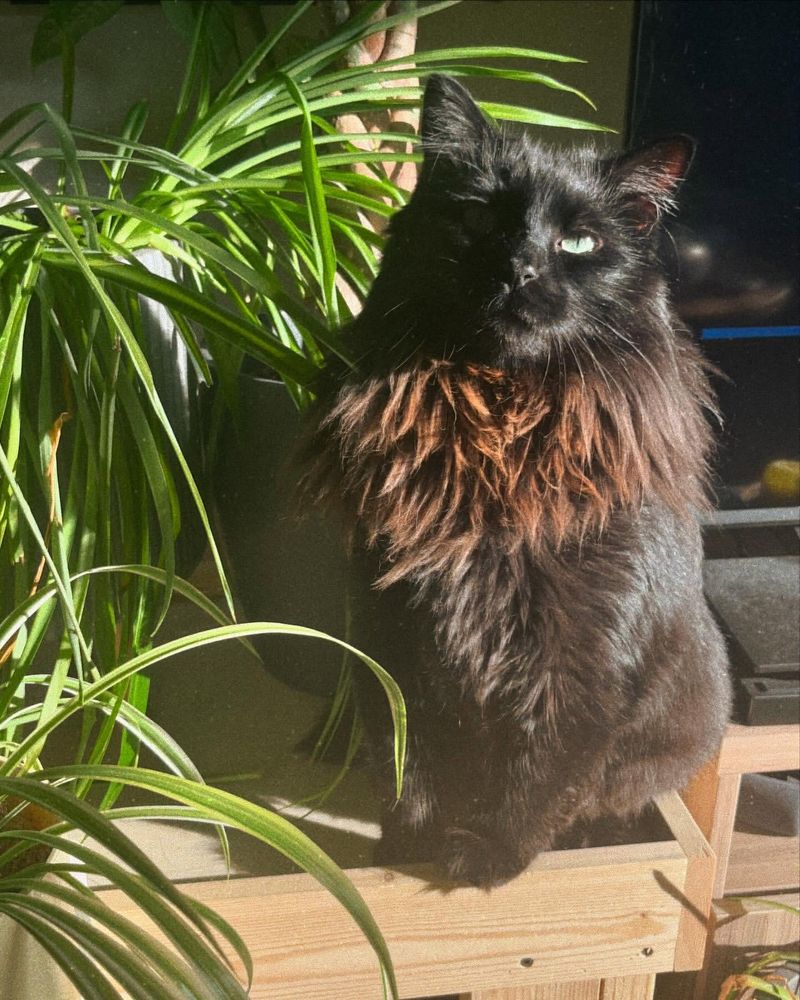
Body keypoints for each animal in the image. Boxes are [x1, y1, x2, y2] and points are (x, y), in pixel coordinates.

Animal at [302, 78, 732, 888]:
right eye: (477, 219)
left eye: (579, 243)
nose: (520, 269)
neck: (499, 440)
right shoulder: (390, 634)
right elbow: (410, 768)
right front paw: (411, 848)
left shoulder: (583, 662)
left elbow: (539, 777)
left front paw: (484, 857)